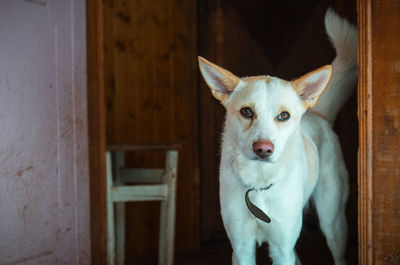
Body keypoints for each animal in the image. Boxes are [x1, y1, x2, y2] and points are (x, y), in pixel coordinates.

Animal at [198, 8, 358, 264]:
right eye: (246, 111)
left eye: (284, 115)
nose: (263, 149)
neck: (259, 183)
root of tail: (318, 114)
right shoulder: (241, 247)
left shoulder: (282, 246)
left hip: (333, 221)